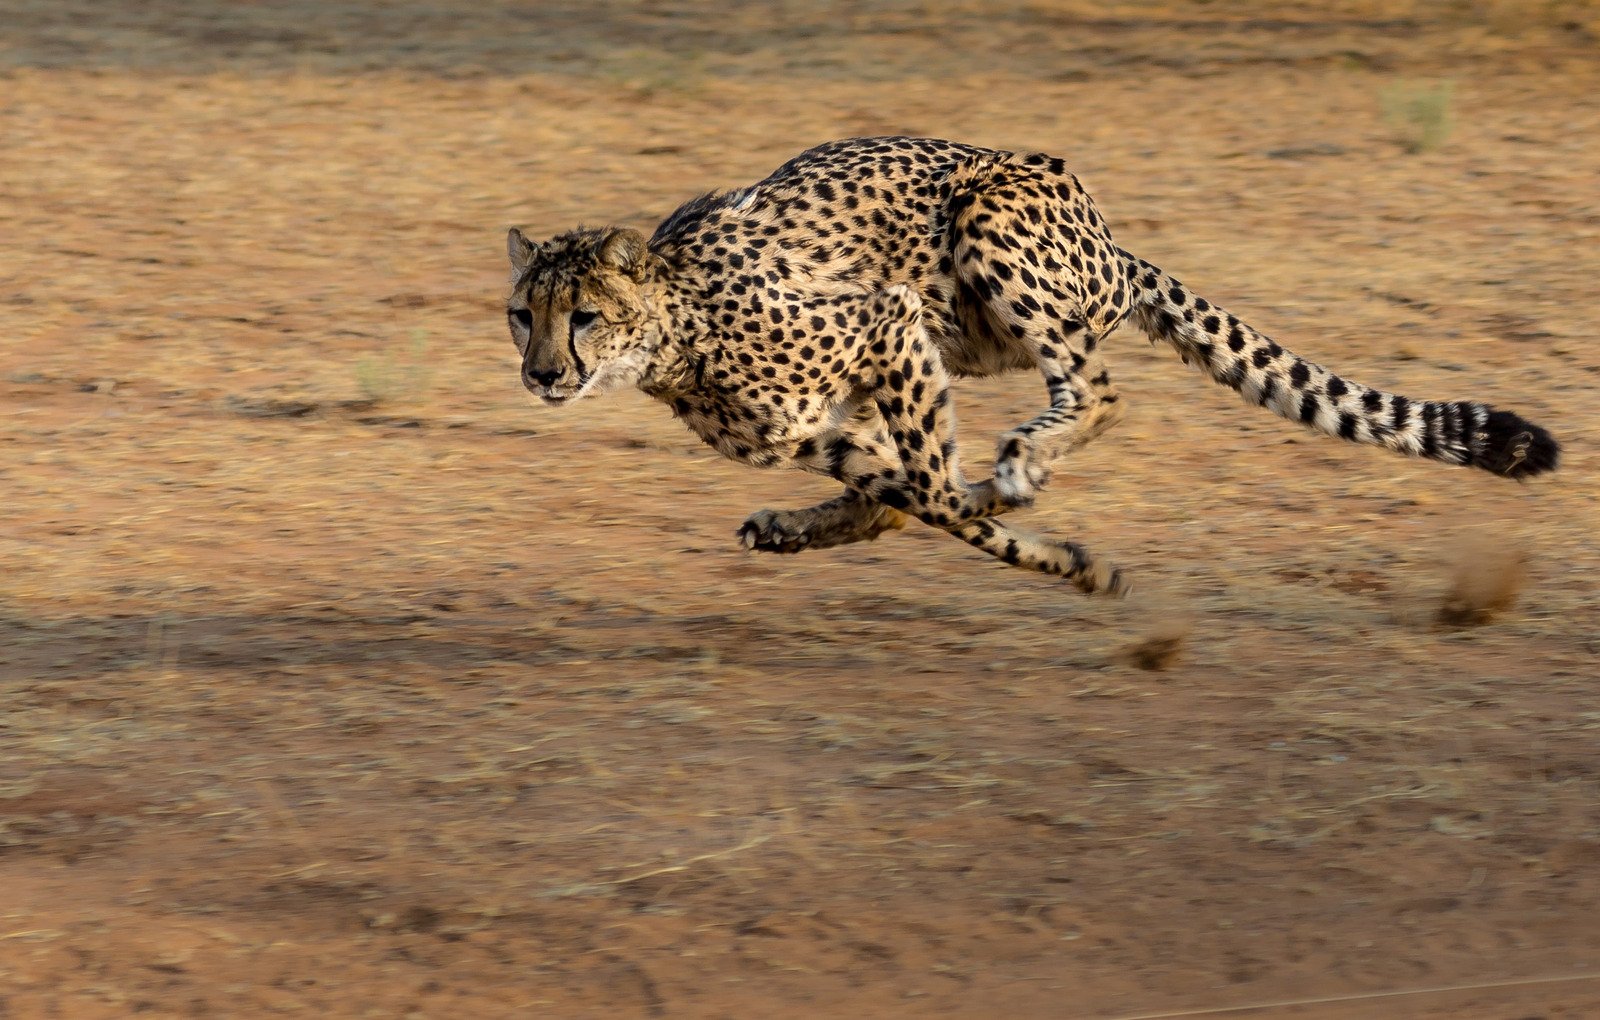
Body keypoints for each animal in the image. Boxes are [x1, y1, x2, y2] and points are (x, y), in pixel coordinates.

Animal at [508, 137, 1561, 601]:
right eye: (524, 316)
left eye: (585, 316)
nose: (543, 376)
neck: (675, 333)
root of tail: (1109, 236)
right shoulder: (819, 427)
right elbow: (911, 498)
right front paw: (1061, 555)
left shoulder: (888, 322)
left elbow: (937, 493)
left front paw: (1056, 546)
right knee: (907, 491)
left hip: (987, 229)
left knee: (1096, 390)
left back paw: (1022, 463)